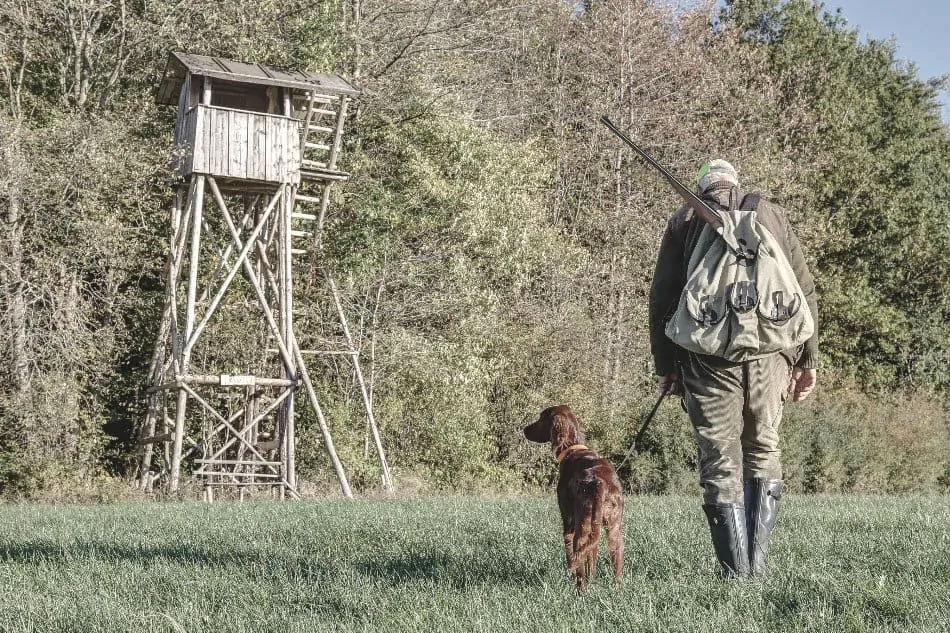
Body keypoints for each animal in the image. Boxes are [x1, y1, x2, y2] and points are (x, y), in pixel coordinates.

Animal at [520, 404, 624, 592]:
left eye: (541, 418)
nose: (525, 429)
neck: (573, 448)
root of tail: (600, 483)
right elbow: (592, 557)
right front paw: (593, 581)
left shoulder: (568, 522)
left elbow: (572, 557)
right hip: (613, 527)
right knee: (615, 554)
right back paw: (617, 589)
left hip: (581, 526)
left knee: (578, 557)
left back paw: (580, 591)